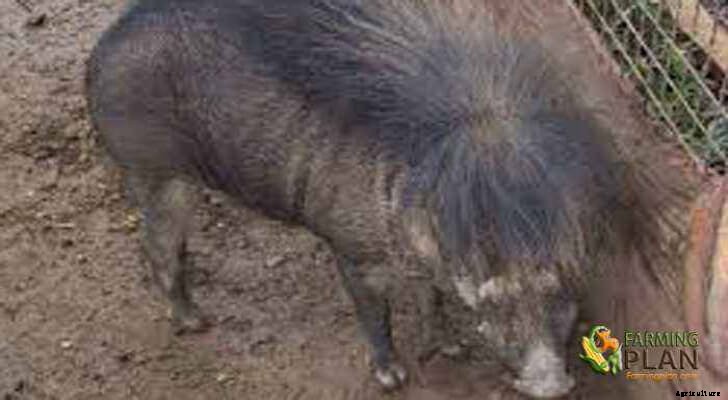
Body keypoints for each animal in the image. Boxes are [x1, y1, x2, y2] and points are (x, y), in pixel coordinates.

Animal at [85, 0, 692, 397]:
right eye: (487, 272)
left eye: (560, 274)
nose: (548, 382)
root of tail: (100, 53)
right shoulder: (352, 250)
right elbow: (374, 314)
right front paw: (394, 379)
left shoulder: (426, 267)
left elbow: (432, 300)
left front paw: (448, 350)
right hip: (156, 172)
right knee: (157, 249)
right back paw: (195, 323)